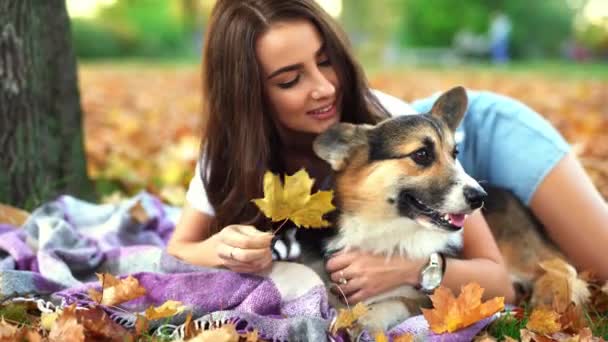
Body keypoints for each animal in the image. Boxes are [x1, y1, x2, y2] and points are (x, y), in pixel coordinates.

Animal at [312, 86, 486, 332]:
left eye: (455, 154)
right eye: (421, 154)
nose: (480, 197)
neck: (388, 230)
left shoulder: (431, 301)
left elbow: (395, 301)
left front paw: (366, 317)